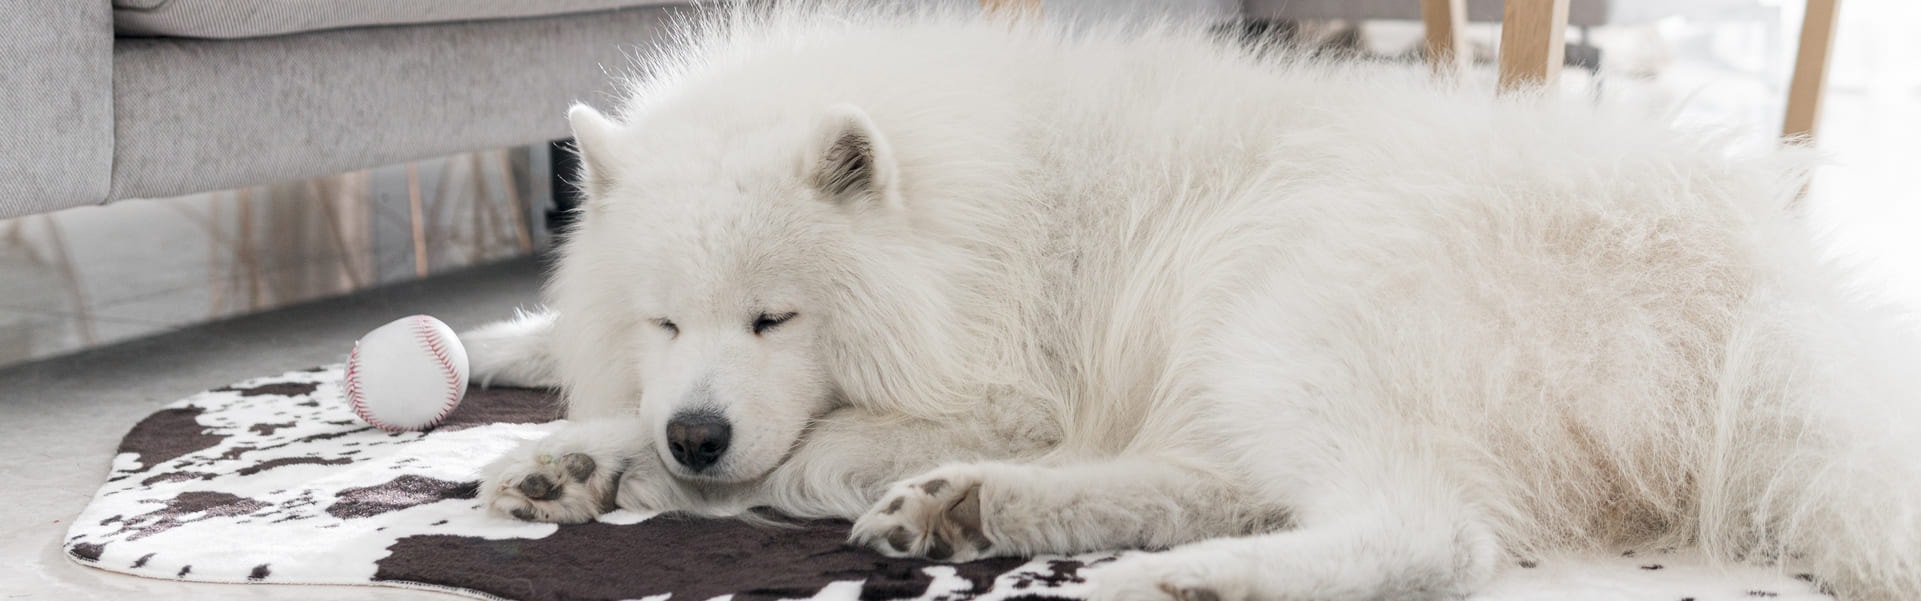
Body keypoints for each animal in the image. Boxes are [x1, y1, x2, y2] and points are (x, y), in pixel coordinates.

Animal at [461, 5, 1921, 599]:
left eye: (777, 319)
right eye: (662, 321)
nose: (696, 430)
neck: (961, 217)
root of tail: (1746, 286)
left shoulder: (1003, 386)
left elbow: (803, 452)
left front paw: (616, 466)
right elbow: (547, 354)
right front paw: (512, 388)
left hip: (1280, 298)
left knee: (1428, 531)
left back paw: (1178, 578)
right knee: (1232, 480)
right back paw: (978, 511)